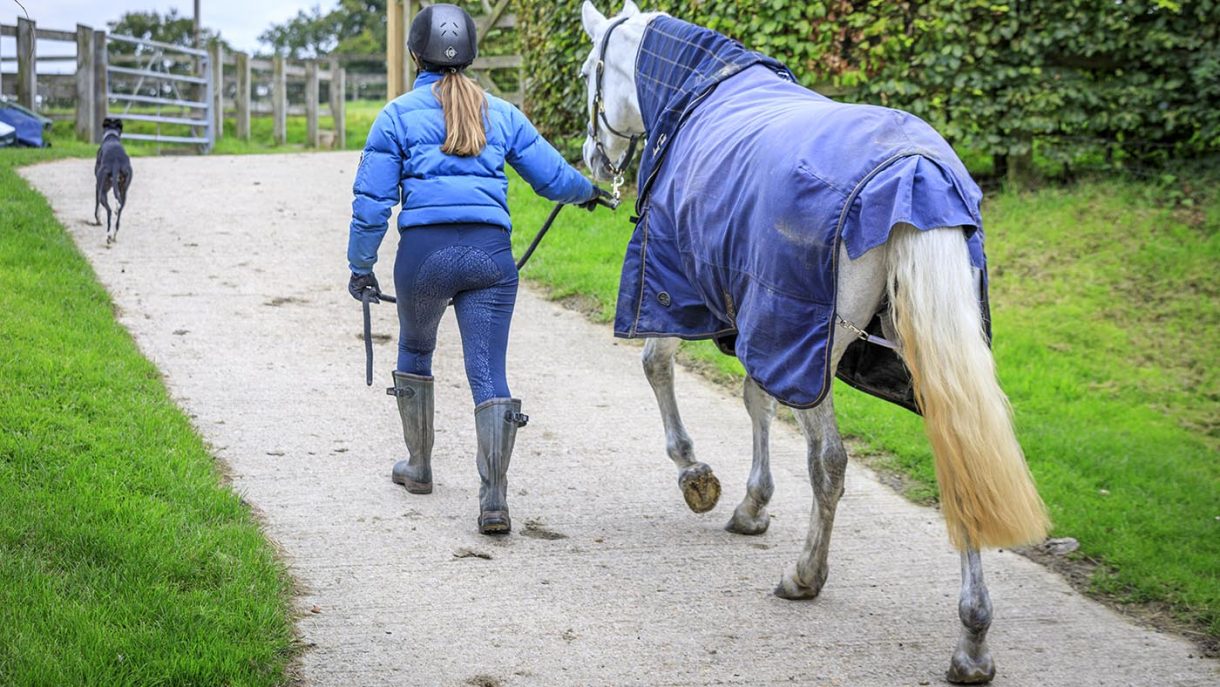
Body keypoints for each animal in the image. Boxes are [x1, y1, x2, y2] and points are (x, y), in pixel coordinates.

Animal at [578, 2, 1050, 683]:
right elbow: (757, 399)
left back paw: (806, 576)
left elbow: (658, 365)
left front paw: (697, 475)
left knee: (829, 463)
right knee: (963, 463)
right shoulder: (757, 320)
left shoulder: (687, 288)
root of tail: (916, 175)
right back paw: (972, 641)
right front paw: (753, 504)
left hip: (816, 344)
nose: (592, 157)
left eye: (587, 71)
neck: (699, 89)